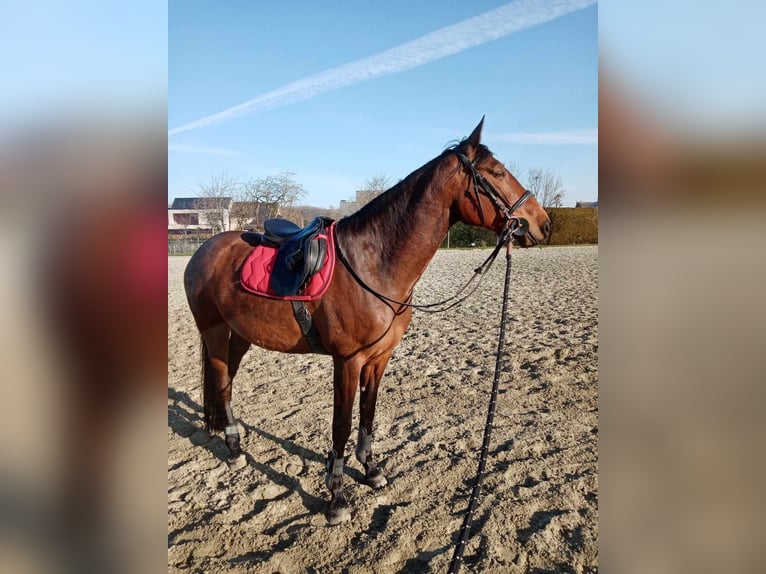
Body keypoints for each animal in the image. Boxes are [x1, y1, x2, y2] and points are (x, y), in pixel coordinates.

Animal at [183, 120, 552, 528]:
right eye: (498, 173)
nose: (544, 224)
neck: (373, 264)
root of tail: (205, 249)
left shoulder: (378, 359)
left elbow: (369, 413)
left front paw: (371, 470)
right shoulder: (348, 361)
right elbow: (341, 425)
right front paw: (336, 497)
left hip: (242, 335)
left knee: (228, 380)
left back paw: (230, 438)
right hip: (215, 331)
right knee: (221, 379)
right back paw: (233, 450)